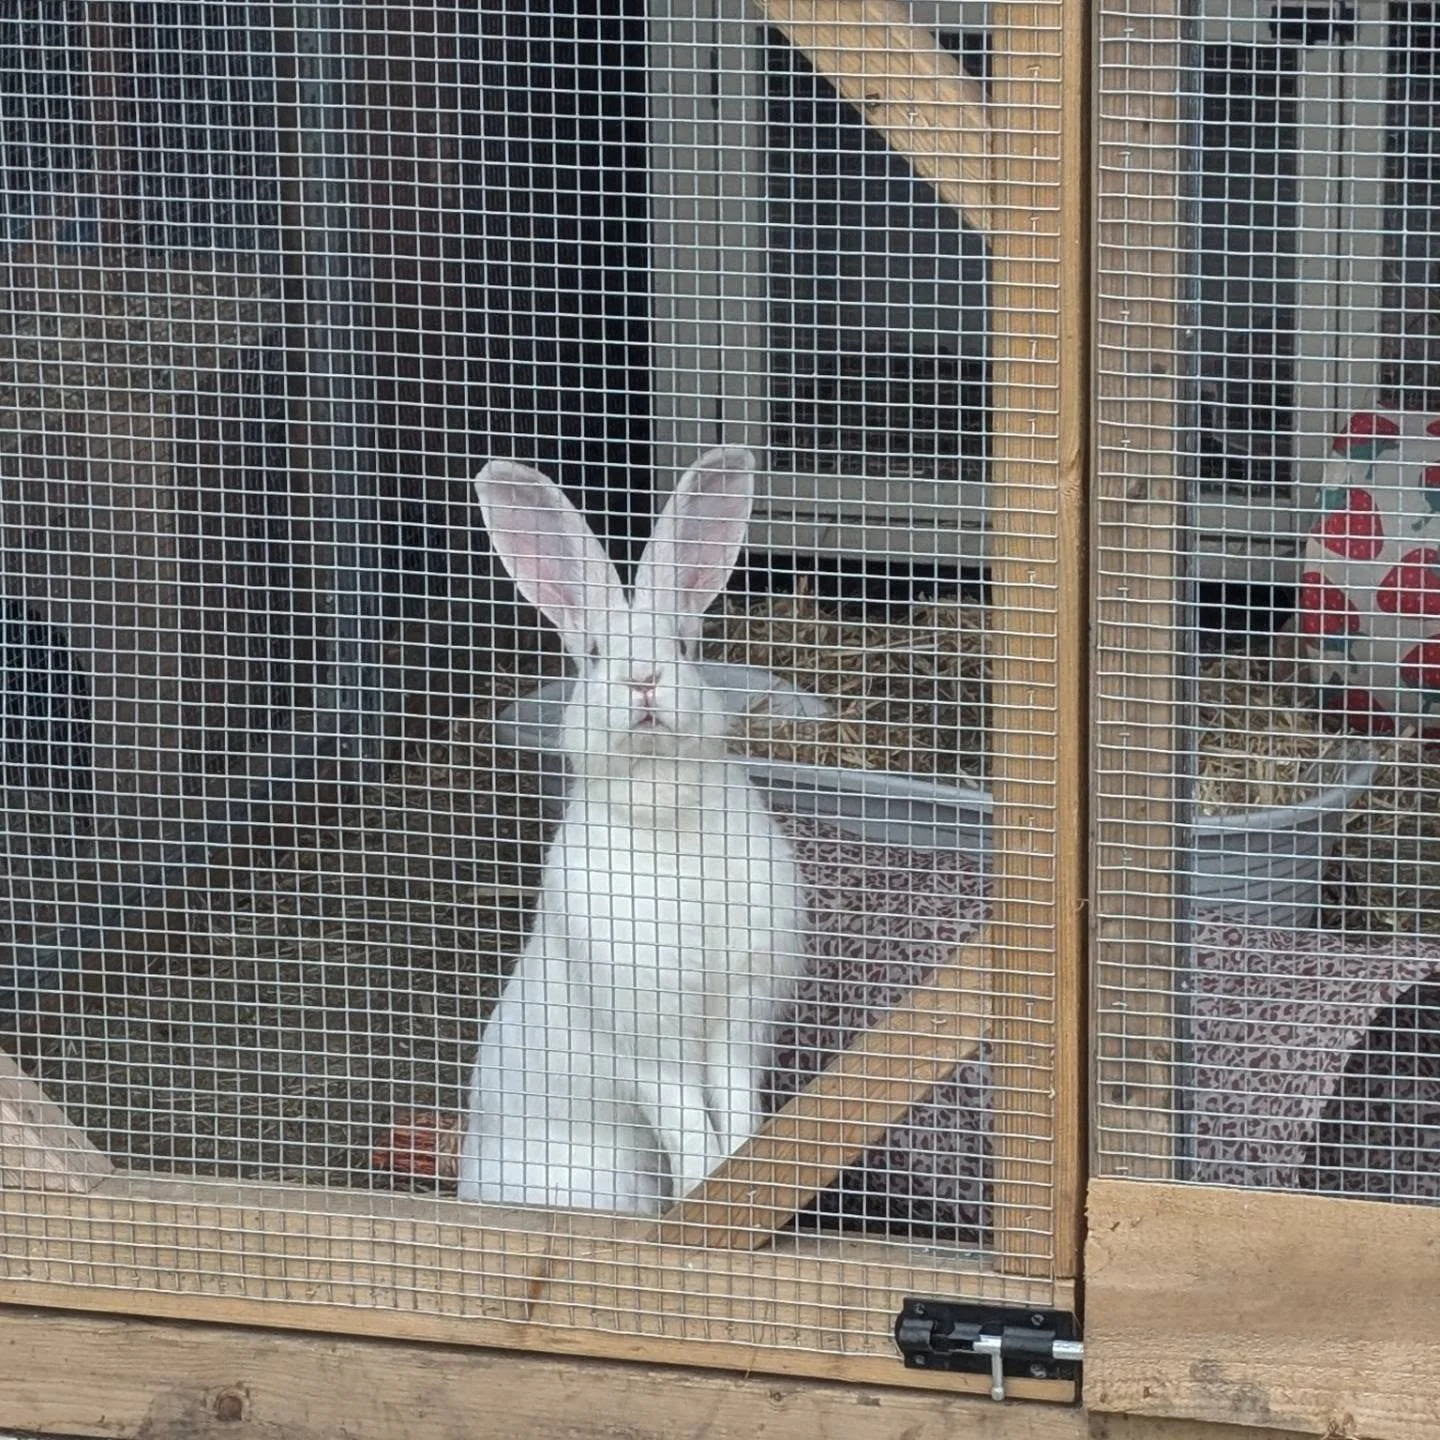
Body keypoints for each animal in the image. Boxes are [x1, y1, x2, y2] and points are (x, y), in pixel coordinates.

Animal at [457, 446, 807, 1215]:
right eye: (593, 653)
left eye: (680, 645)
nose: (643, 679)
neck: (661, 805)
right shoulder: (646, 1038)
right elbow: (686, 1123)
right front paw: (708, 1197)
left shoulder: (736, 1022)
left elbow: (736, 1108)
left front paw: (745, 1182)